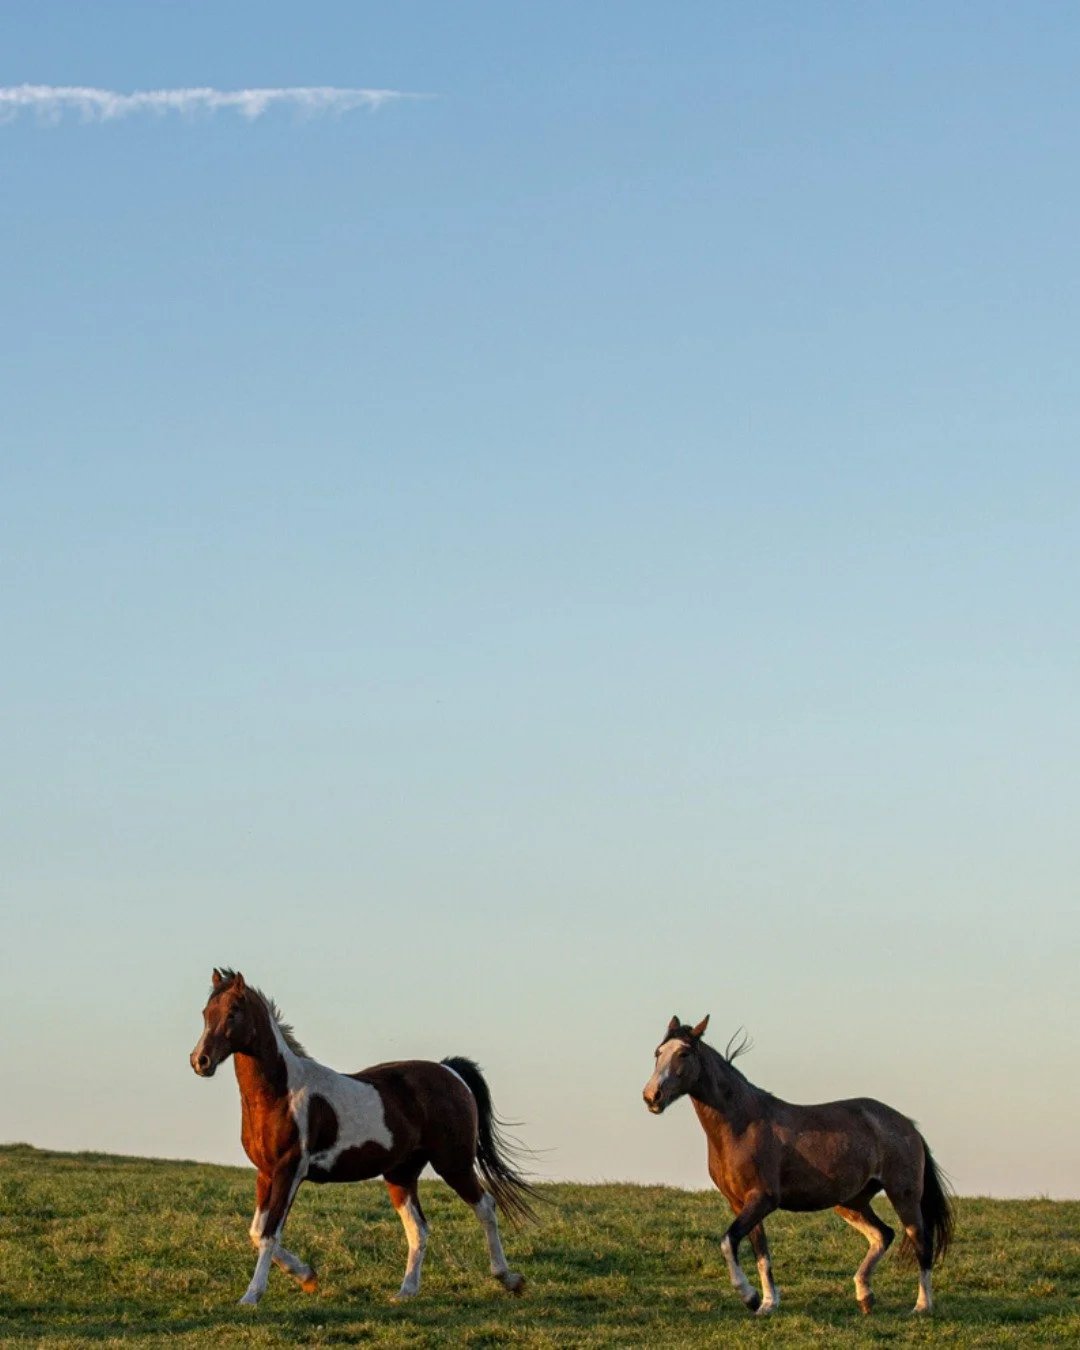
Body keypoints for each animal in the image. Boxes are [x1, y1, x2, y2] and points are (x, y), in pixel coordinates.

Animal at [190, 968, 536, 1305]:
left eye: (232, 1013)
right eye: (206, 1013)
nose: (200, 1061)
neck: (280, 1094)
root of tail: (449, 1072)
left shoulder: (290, 1170)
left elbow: (269, 1234)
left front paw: (252, 1295)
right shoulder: (266, 1173)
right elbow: (256, 1231)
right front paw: (307, 1276)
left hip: (454, 1164)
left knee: (485, 1207)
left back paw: (509, 1279)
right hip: (401, 1174)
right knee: (418, 1229)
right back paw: (406, 1291)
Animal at [642, 1015, 954, 1317]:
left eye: (683, 1053)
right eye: (658, 1052)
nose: (651, 1096)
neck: (743, 1125)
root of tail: (907, 1124)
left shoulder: (763, 1199)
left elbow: (728, 1241)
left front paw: (750, 1297)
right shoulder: (740, 1203)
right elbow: (761, 1254)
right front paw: (767, 1304)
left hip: (903, 1195)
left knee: (921, 1243)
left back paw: (921, 1306)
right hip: (850, 1202)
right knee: (883, 1235)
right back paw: (865, 1296)